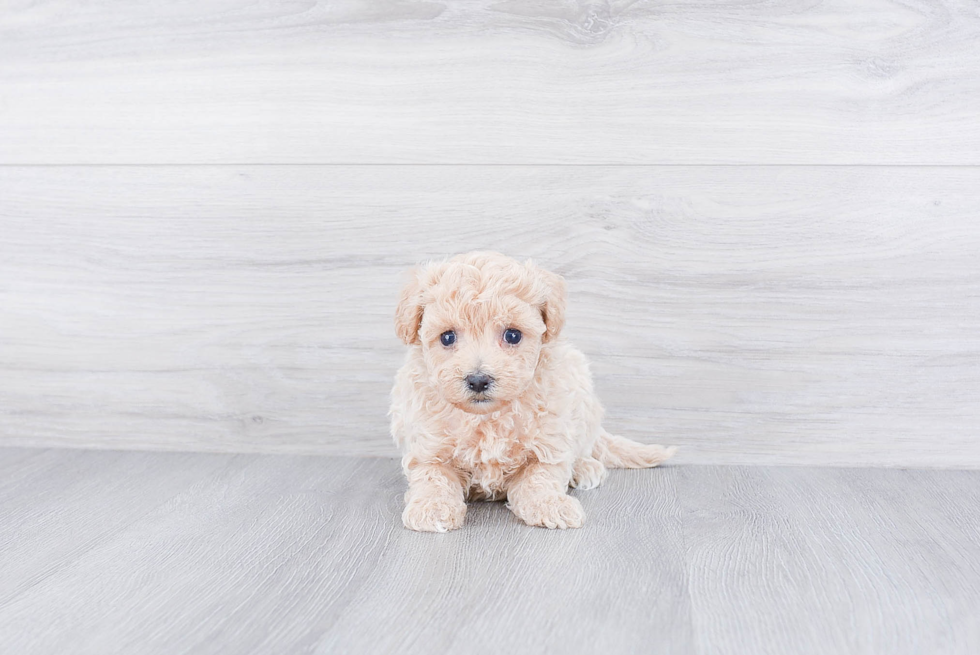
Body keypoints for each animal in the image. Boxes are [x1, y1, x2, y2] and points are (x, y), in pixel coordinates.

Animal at [388, 252, 672, 532]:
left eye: (513, 335)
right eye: (447, 337)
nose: (478, 380)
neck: (487, 417)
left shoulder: (549, 440)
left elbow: (540, 477)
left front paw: (551, 504)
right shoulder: (427, 445)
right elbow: (433, 476)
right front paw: (432, 507)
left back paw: (584, 467)